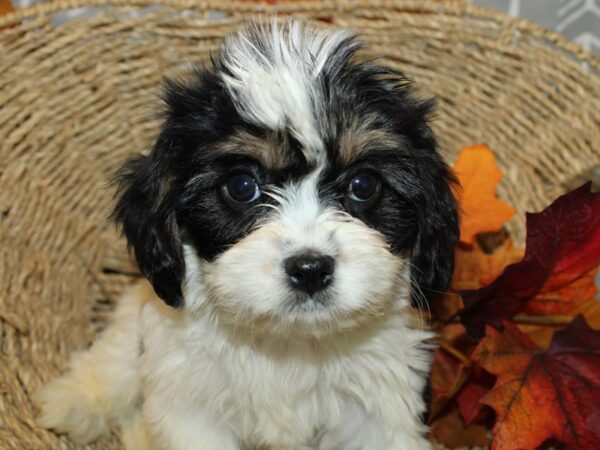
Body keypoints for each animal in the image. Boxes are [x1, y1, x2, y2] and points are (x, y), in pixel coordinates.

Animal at [35, 19, 458, 450]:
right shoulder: (192, 405)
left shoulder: (376, 406)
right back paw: (79, 398)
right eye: (241, 187)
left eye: (363, 185)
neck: (288, 343)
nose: (310, 269)